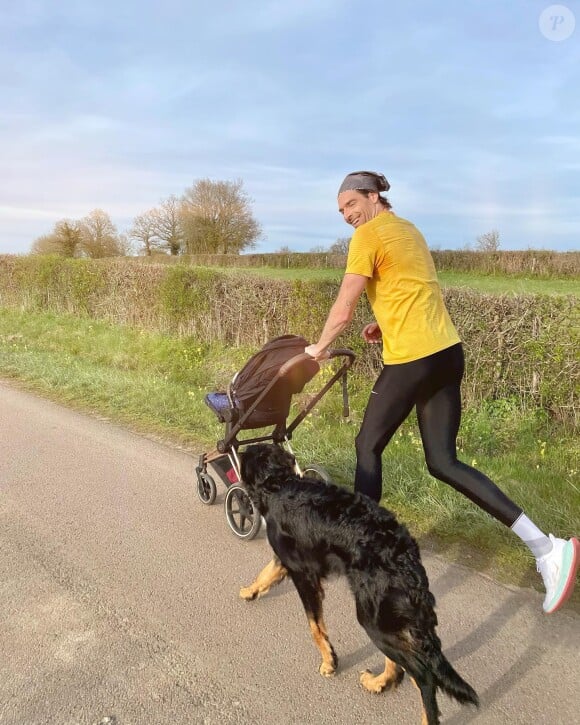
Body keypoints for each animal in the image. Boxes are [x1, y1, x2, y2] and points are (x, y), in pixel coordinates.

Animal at [238, 444, 478, 720]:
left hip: (372, 619)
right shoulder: (286, 561)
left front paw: (329, 662)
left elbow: (314, 627)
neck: (279, 484)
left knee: (423, 677)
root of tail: (405, 556)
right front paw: (249, 591)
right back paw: (378, 683)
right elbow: (264, 574)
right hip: (387, 619)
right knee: (403, 667)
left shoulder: (303, 574)